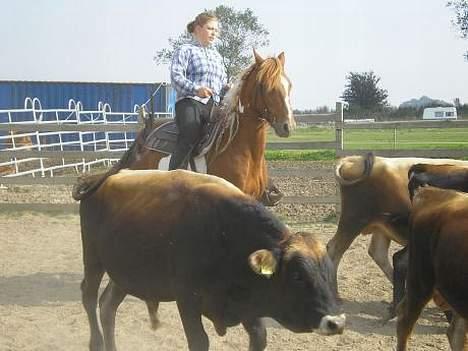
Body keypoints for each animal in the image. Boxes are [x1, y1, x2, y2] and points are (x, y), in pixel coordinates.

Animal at [78, 169, 346, 350]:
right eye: (298, 276)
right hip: (93, 259)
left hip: (124, 272)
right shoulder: (187, 300)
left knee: (107, 305)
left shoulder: (249, 305)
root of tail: (101, 179)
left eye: (329, 273)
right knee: (89, 296)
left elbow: (259, 336)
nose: (336, 322)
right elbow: (200, 341)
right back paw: (96, 342)